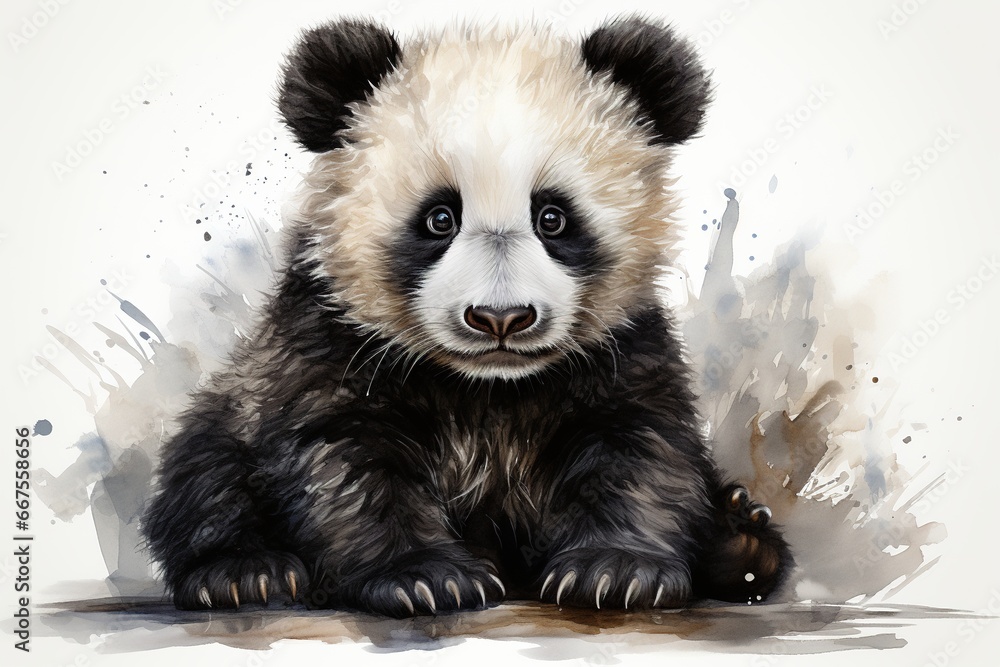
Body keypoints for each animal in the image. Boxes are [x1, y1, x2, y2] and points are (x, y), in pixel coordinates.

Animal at [142, 15, 792, 617]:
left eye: (553, 217)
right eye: (439, 219)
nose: (501, 319)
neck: (489, 389)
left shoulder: (625, 346)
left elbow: (639, 449)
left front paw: (617, 570)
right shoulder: (327, 340)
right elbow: (344, 460)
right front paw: (426, 577)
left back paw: (742, 541)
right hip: (234, 407)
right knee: (204, 473)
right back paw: (243, 572)